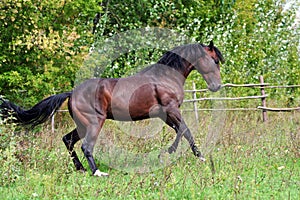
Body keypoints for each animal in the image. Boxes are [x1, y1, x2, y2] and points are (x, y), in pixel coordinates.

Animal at [0, 41, 225, 177]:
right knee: (86, 146)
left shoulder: (164, 114)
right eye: (214, 60)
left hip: (82, 125)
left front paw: (183, 155)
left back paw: (81, 169)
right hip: (94, 123)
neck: (165, 78)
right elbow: (185, 130)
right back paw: (97, 173)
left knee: (68, 140)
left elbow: (182, 131)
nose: (217, 86)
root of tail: (71, 93)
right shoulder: (171, 110)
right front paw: (183, 155)